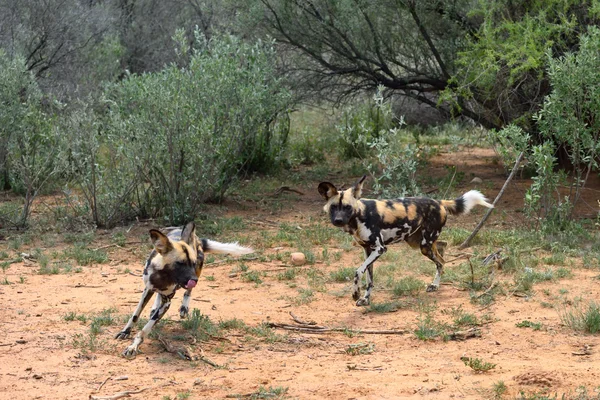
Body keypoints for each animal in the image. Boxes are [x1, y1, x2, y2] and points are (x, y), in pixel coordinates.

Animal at [115, 222, 253, 356]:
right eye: (180, 263)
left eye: (192, 263)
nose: (194, 280)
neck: (162, 276)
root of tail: (196, 238)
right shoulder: (147, 290)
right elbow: (135, 315)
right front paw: (125, 332)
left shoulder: (167, 303)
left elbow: (145, 329)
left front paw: (134, 346)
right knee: (159, 296)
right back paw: (155, 306)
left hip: (197, 272)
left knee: (188, 292)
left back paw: (184, 307)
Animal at [318, 176, 492, 306]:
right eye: (334, 207)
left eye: (347, 207)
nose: (338, 220)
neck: (359, 215)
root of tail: (439, 202)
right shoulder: (368, 251)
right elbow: (369, 279)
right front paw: (365, 299)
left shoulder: (380, 249)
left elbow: (358, 271)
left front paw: (355, 293)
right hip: (418, 242)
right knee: (442, 247)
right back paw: (436, 280)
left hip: (424, 245)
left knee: (441, 261)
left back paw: (435, 285)